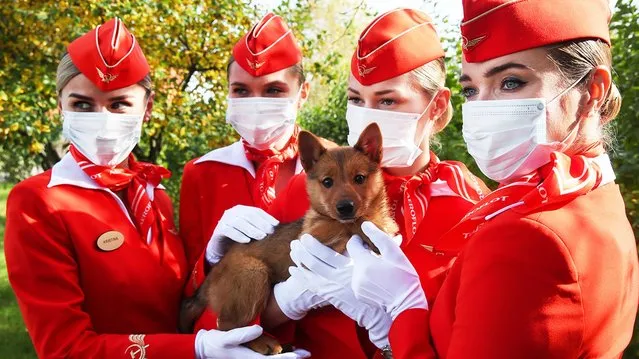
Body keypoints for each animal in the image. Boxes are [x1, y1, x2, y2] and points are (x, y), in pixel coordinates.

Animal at [180, 124, 398, 354]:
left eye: (360, 178)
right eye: (327, 182)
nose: (345, 207)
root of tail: (212, 274)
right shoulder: (312, 237)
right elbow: (348, 224)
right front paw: (371, 230)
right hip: (253, 272)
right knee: (226, 327)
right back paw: (263, 342)